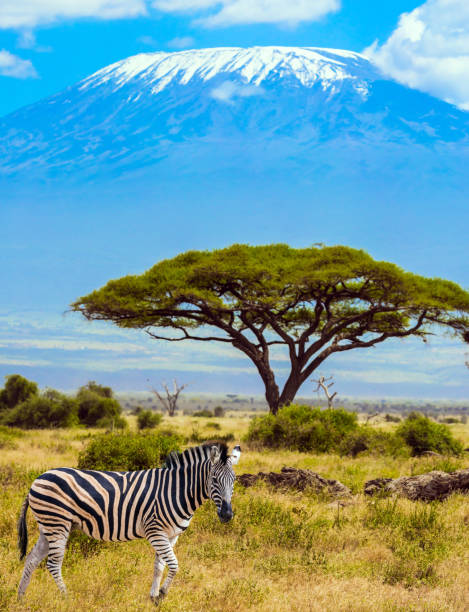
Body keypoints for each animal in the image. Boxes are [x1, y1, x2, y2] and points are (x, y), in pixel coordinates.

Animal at [17, 442, 241, 604]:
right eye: (214, 480)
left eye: (234, 481)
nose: (227, 515)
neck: (176, 490)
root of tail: (37, 479)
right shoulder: (155, 531)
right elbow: (174, 564)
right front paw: (162, 594)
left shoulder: (171, 535)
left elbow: (159, 566)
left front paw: (153, 597)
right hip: (57, 523)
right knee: (53, 564)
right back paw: (67, 599)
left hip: (48, 526)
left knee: (32, 559)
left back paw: (20, 598)